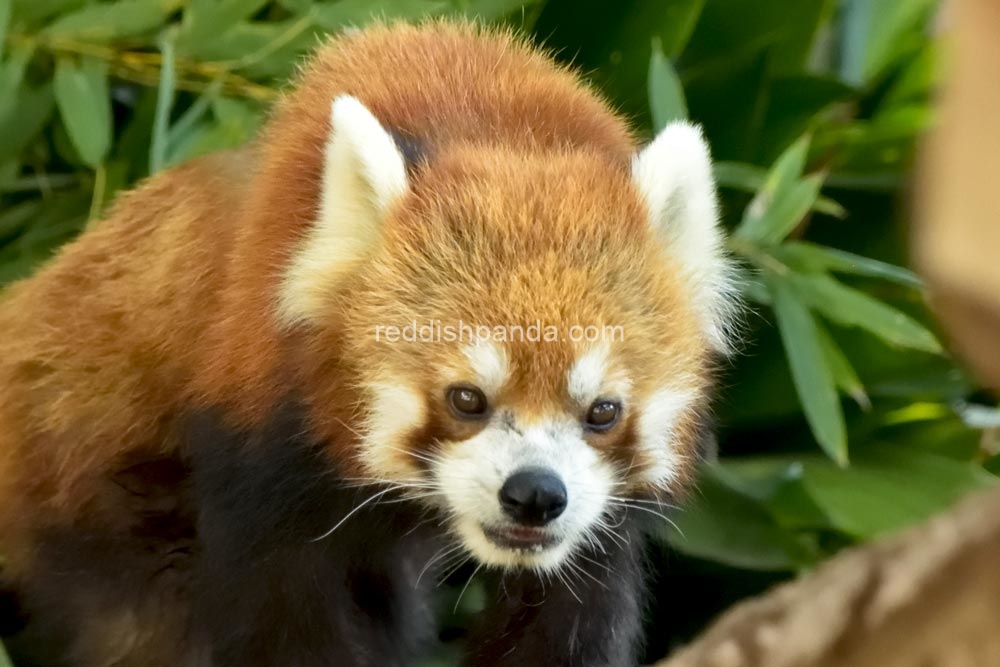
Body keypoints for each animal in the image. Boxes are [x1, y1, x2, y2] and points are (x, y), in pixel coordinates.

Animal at [0, 19, 736, 667]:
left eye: (603, 410)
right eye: (465, 398)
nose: (534, 493)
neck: (494, 116)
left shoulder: (595, 523)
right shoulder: (256, 440)